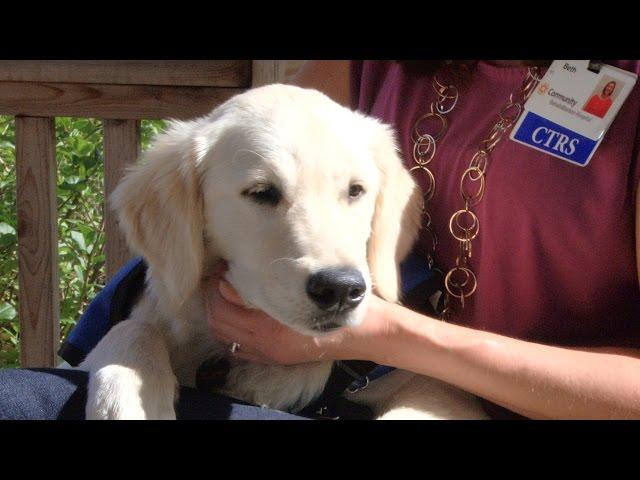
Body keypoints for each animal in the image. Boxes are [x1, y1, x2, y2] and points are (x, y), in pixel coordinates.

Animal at [81, 84, 490, 418]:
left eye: (356, 190)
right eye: (261, 192)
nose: (341, 289)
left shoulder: (435, 387)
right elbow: (133, 328)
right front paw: (131, 396)